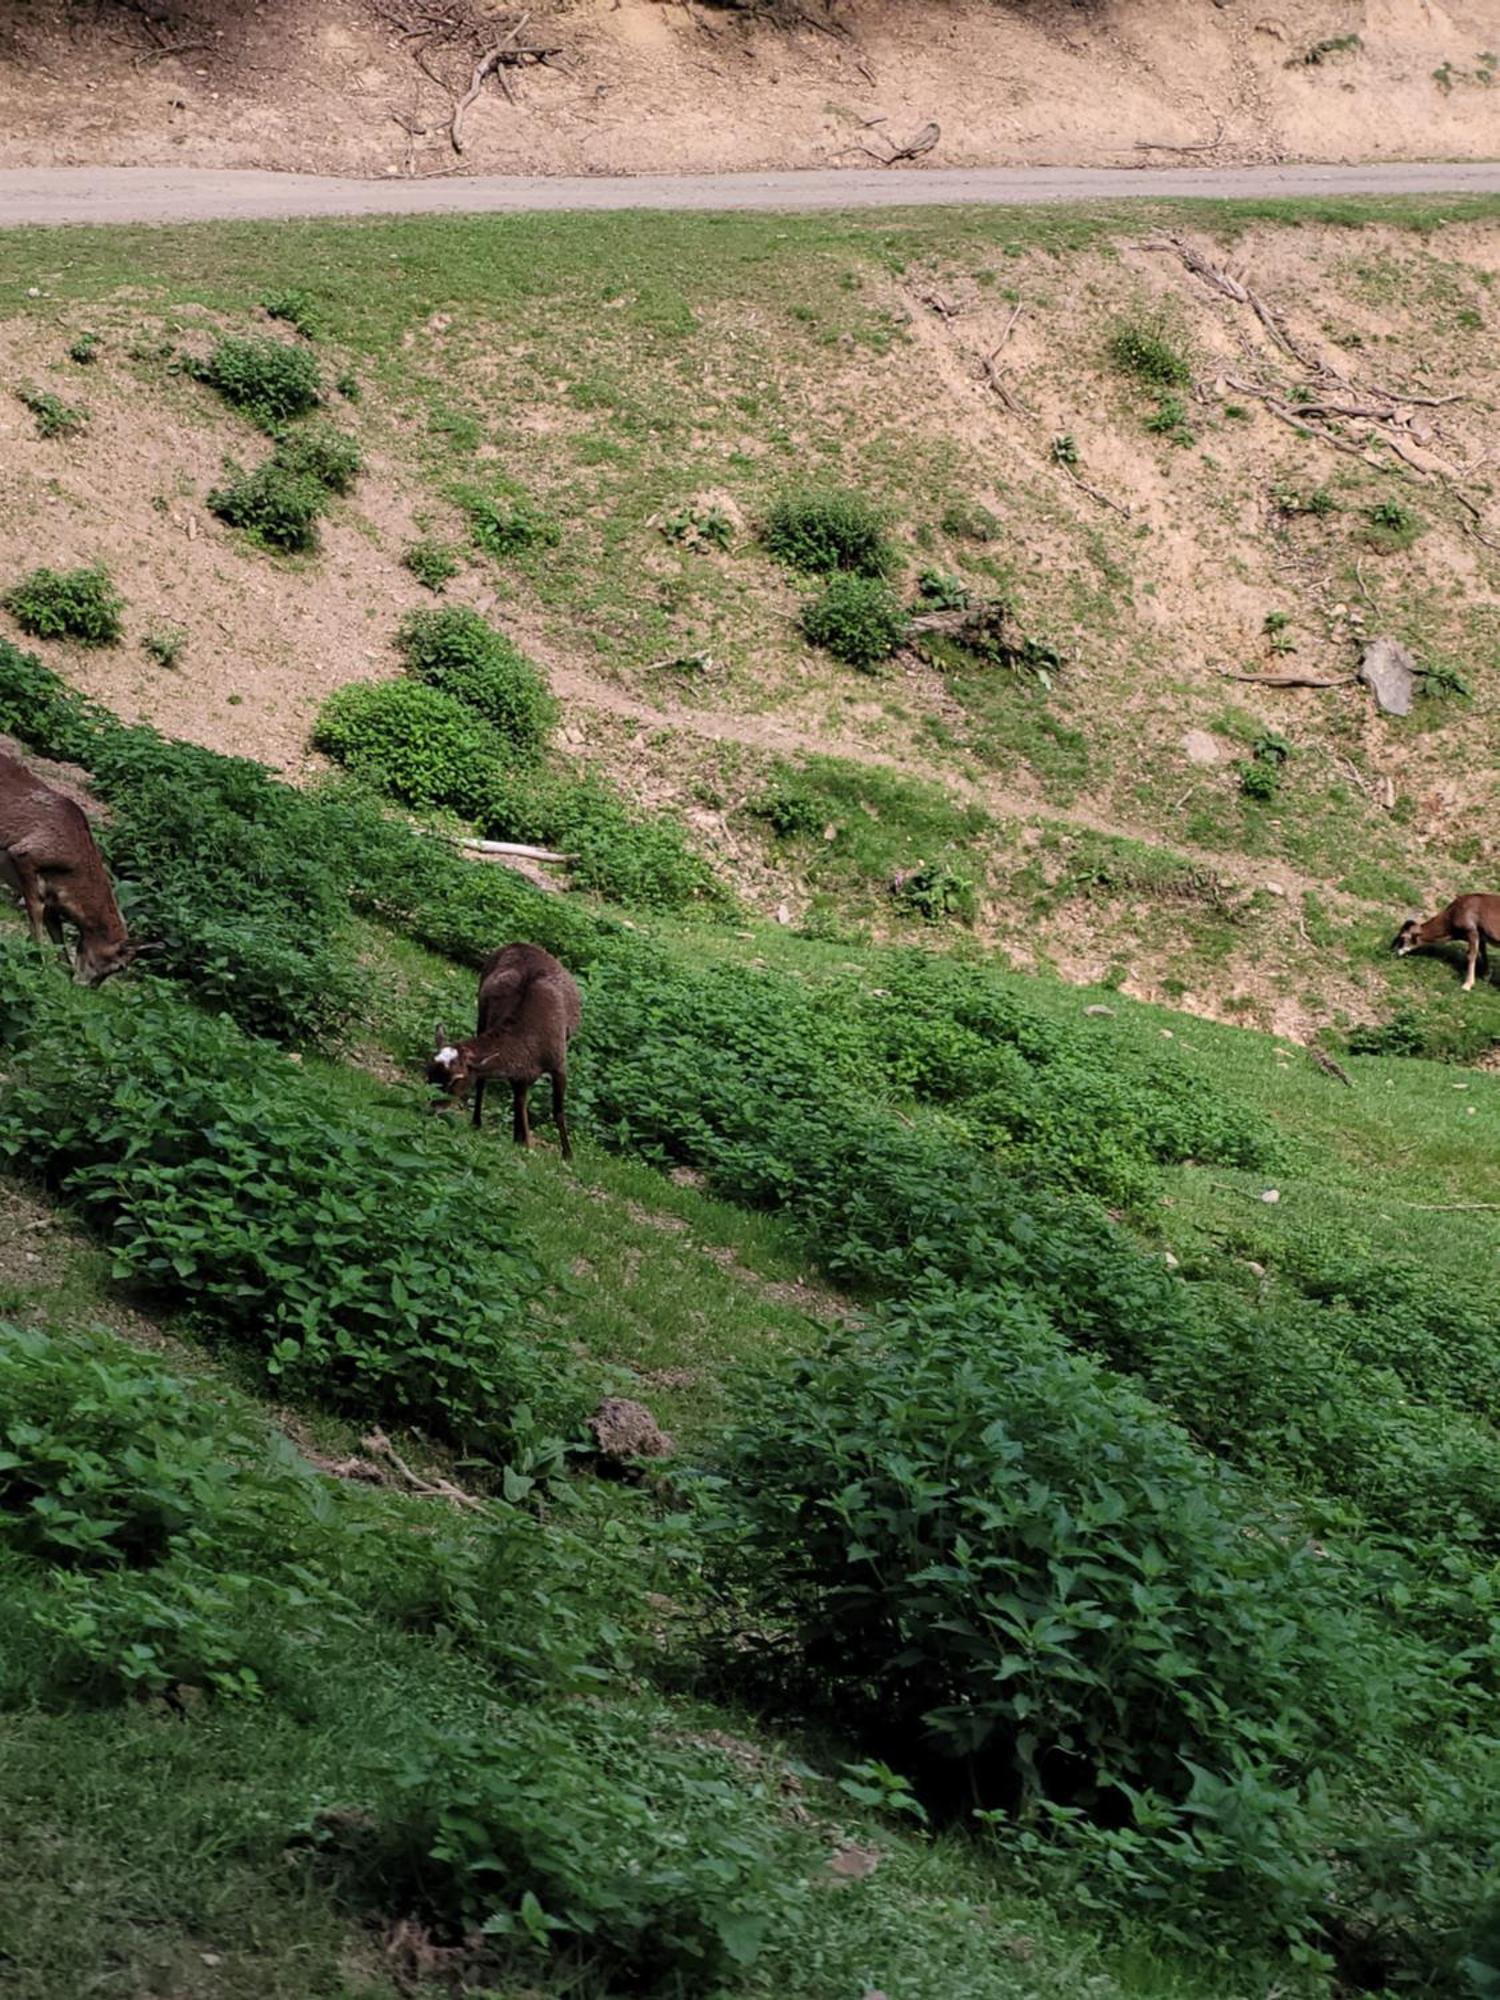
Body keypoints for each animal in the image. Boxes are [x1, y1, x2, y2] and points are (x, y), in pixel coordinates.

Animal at [0, 744, 153, 984]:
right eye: (118, 966)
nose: (86, 987)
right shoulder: (24, 856)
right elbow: (36, 918)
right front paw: (39, 962)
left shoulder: (52, 899)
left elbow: (58, 936)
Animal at [428, 948, 588, 1168]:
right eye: (428, 1072)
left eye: (456, 1080)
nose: (433, 1108)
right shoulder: (519, 1072)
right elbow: (520, 1102)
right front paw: (525, 1143)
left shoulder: (559, 1063)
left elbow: (557, 1110)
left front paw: (567, 1154)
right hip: (481, 1014)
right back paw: (477, 1121)